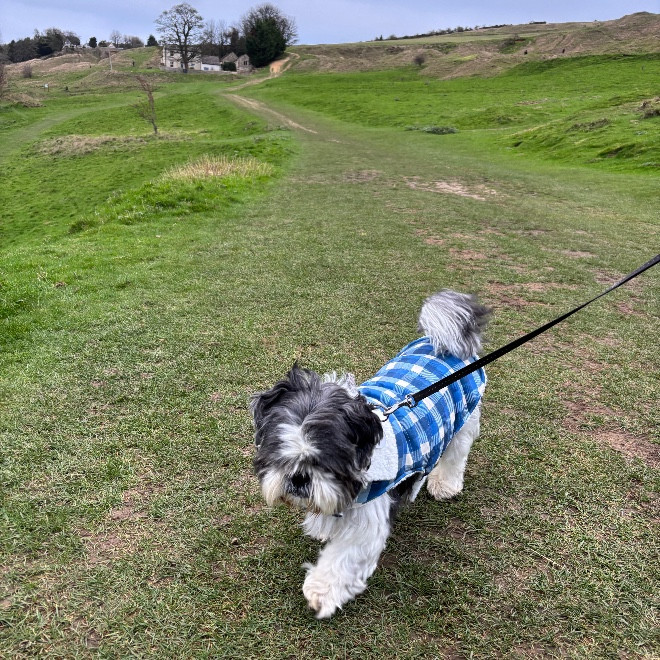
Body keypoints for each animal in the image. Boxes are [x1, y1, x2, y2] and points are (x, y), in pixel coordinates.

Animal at [250, 290, 490, 618]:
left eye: (327, 463)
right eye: (279, 454)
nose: (298, 478)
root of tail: (441, 343)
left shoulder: (370, 514)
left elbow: (345, 556)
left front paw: (322, 592)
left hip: (463, 417)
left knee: (456, 452)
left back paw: (445, 484)